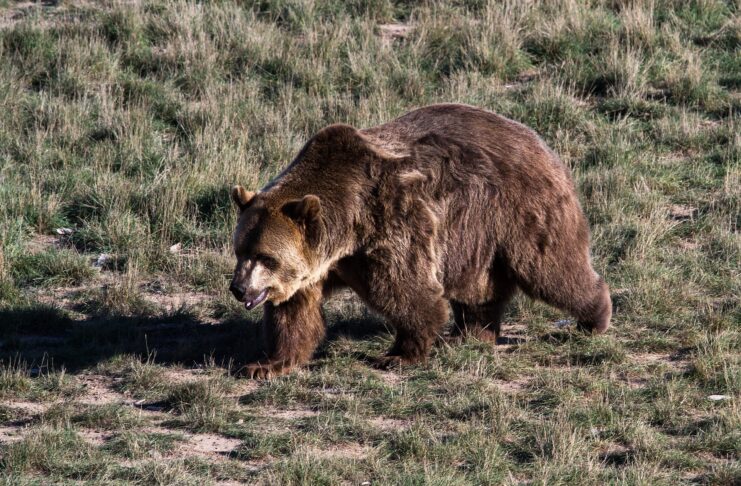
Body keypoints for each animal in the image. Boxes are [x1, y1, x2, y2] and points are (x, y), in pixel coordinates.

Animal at [229, 103, 611, 379]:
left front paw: (399, 354)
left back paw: (594, 317)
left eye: (267, 257)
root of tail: (538, 140)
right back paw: (471, 332)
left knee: (551, 270)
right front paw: (266, 365)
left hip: (520, 211)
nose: (239, 288)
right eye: (240, 251)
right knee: (479, 288)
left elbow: (408, 292)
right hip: (476, 236)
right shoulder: (315, 268)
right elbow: (294, 315)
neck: (346, 229)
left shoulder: (390, 225)